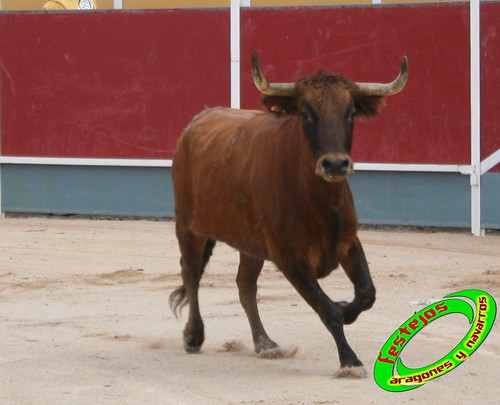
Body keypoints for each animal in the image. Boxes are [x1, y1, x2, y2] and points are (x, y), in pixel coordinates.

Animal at [170, 51, 408, 376]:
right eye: (306, 114)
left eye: (351, 113)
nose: (335, 164)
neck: (319, 201)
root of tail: (198, 120)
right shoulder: (289, 258)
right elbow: (325, 308)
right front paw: (349, 359)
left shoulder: (348, 242)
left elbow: (365, 294)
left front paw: (346, 308)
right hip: (188, 226)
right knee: (192, 273)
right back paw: (194, 336)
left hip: (250, 243)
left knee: (245, 285)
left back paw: (264, 342)